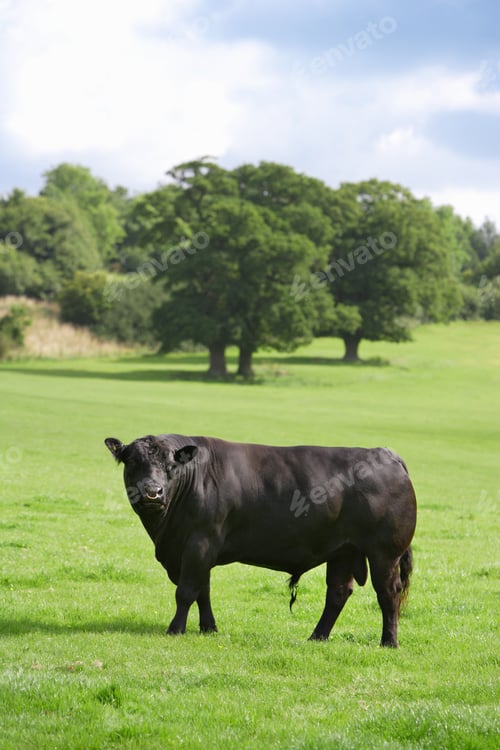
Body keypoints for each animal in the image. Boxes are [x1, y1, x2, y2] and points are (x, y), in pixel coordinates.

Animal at [104, 434, 417, 646]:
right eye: (132, 462)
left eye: (171, 465)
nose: (152, 492)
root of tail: (386, 455)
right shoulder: (197, 552)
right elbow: (203, 590)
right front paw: (208, 628)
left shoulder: (199, 543)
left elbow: (186, 591)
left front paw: (175, 629)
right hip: (343, 551)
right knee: (338, 593)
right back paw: (317, 637)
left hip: (384, 553)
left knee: (388, 592)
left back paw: (388, 642)